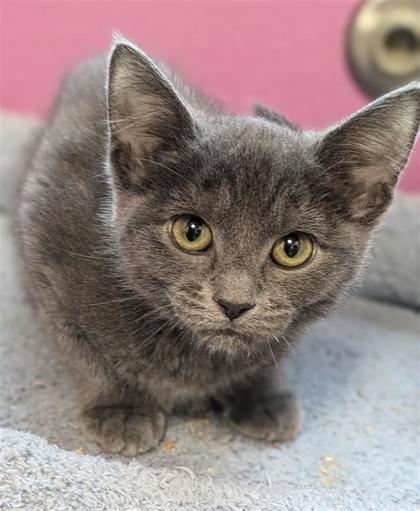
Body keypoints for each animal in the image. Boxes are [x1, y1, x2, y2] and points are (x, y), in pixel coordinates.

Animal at [17, 35, 420, 456]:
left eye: (293, 248)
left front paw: (260, 395)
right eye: (192, 231)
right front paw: (120, 408)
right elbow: (80, 348)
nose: (234, 303)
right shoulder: (44, 246)